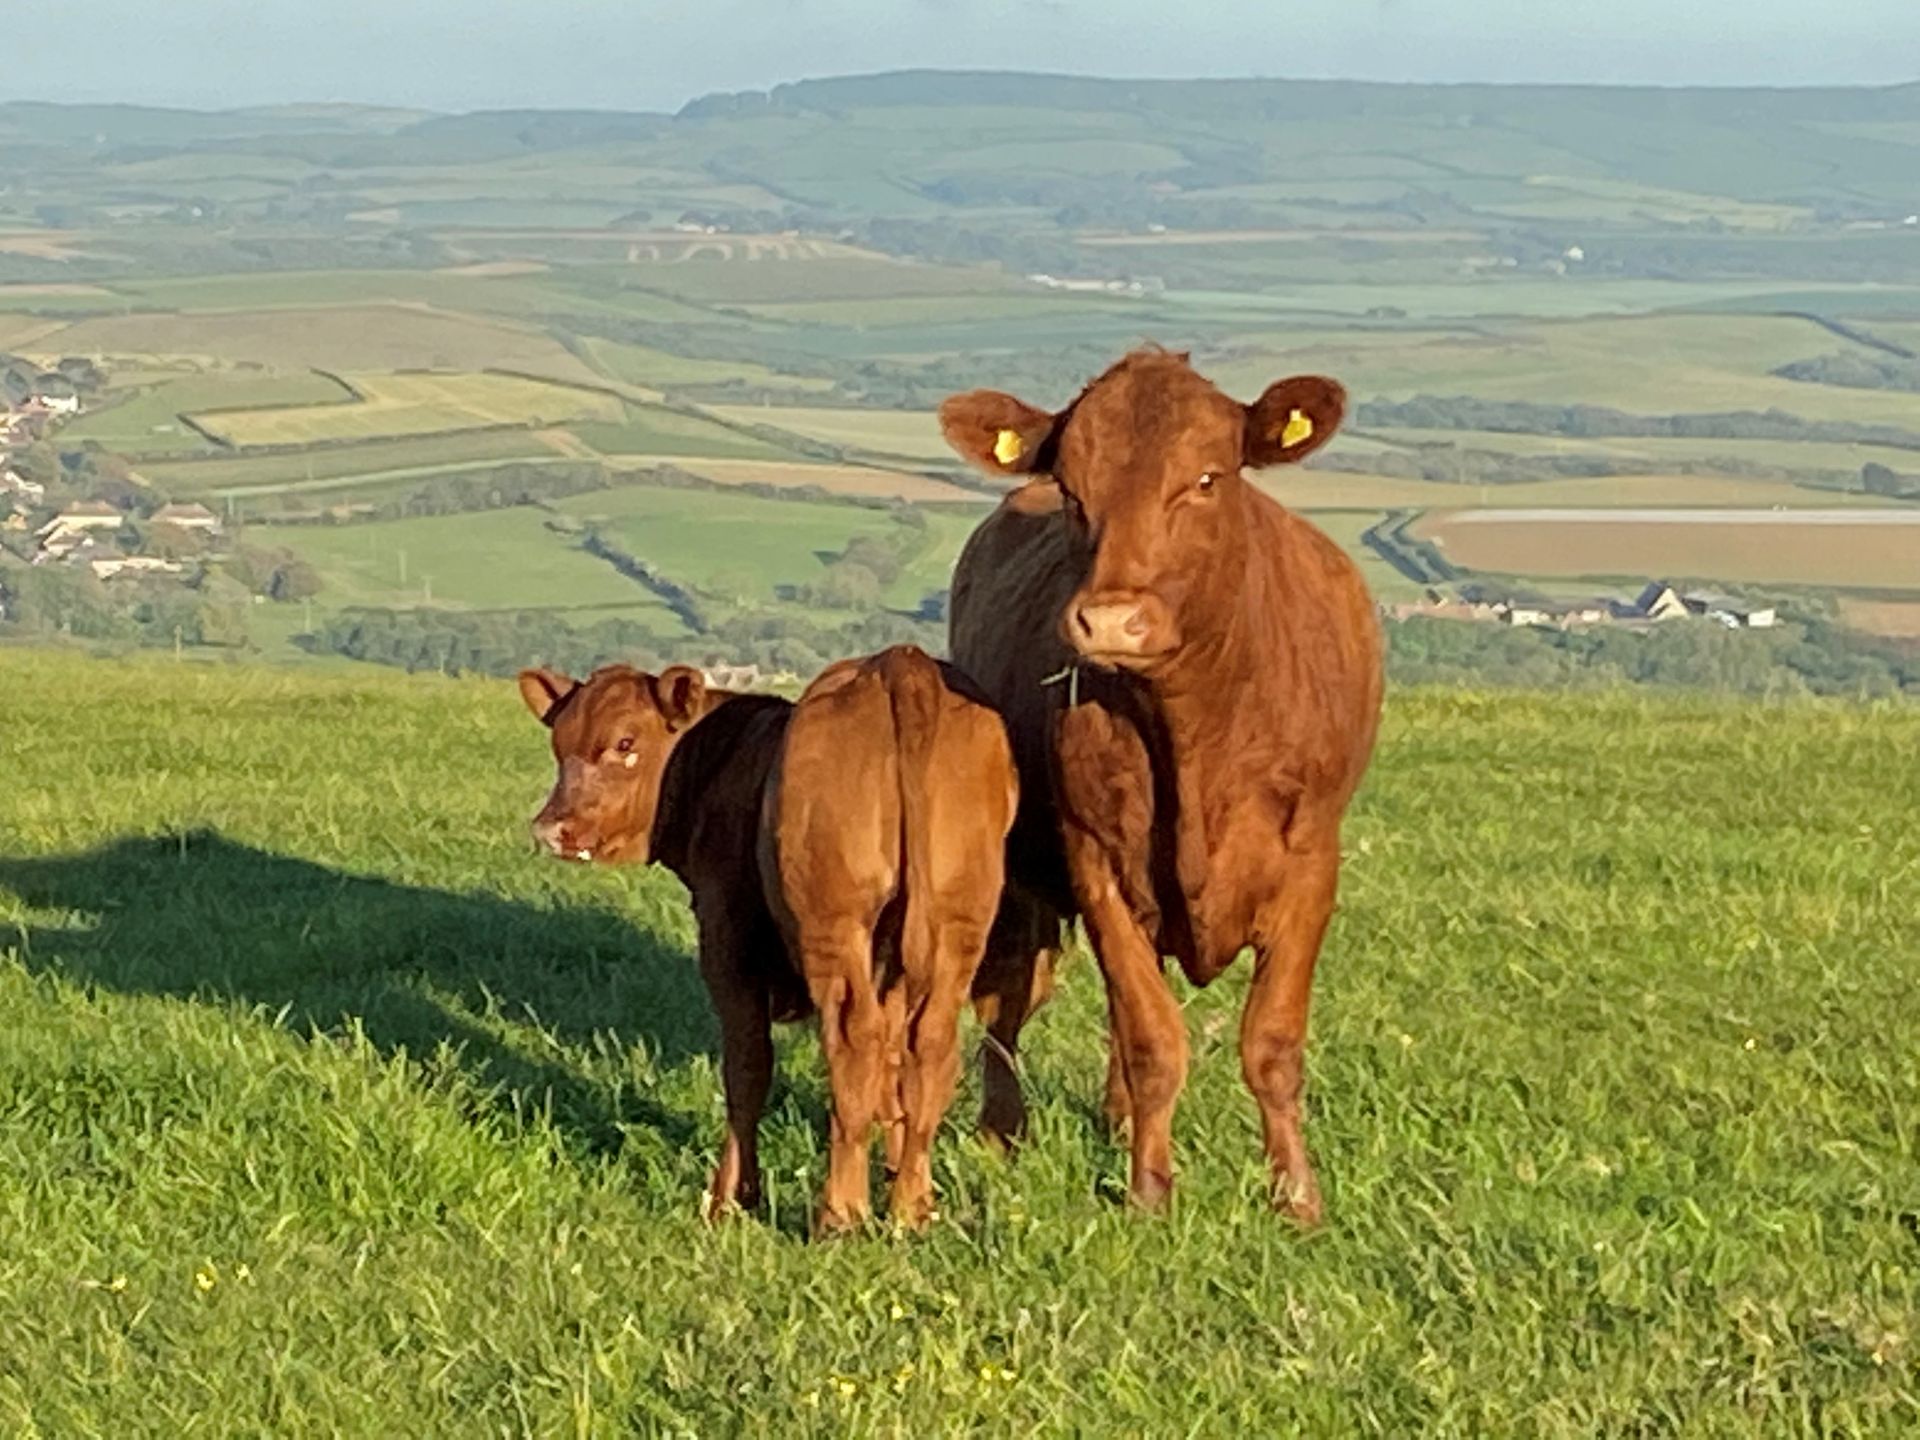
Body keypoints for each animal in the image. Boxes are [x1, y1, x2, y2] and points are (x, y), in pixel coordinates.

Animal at [518, 645, 1017, 1232]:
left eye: (624, 742)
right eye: (559, 745)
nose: (552, 827)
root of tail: (900, 664)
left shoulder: (727, 942)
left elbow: (747, 1068)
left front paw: (729, 1198)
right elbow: (893, 1076)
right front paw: (897, 1174)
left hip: (835, 928)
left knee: (853, 1043)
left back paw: (840, 1215)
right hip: (956, 924)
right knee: (929, 1046)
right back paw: (911, 1209)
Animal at [939, 347, 1383, 1221]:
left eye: (1206, 479)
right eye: (1073, 488)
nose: (1111, 621)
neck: (1196, 734)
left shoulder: (1312, 864)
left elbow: (1272, 1043)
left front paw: (1296, 1196)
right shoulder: (1097, 864)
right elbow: (1151, 1037)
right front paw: (1149, 1190)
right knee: (1009, 1003)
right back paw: (1004, 1134)